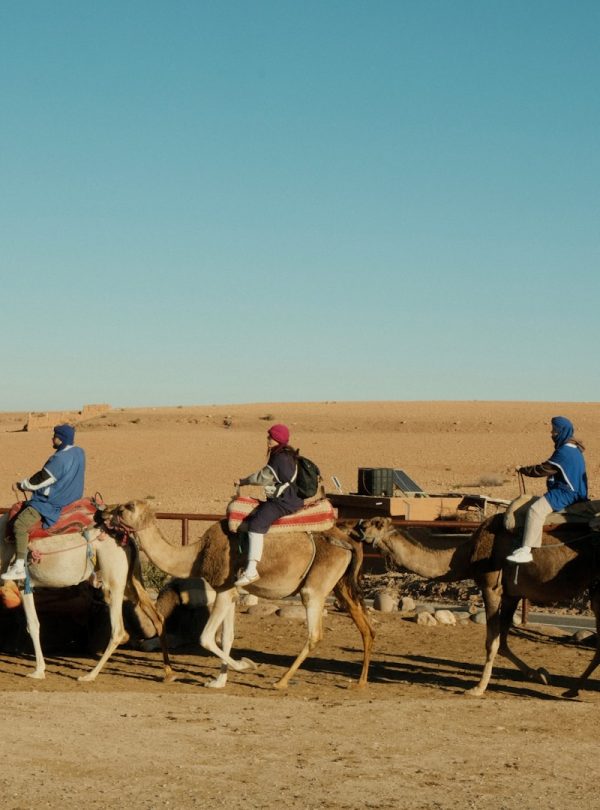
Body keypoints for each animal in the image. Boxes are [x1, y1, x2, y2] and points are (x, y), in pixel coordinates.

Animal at [0, 511, 174, 682]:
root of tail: (128, 539)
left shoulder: (23, 583)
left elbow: (32, 624)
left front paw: (38, 671)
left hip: (113, 579)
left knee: (118, 630)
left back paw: (90, 675)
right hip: (131, 580)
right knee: (156, 616)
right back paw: (169, 673)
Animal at [101, 500, 394, 689]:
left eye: (127, 507)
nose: (104, 513)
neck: (195, 555)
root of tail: (349, 539)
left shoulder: (223, 587)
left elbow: (206, 638)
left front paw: (245, 666)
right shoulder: (231, 592)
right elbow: (227, 637)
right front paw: (219, 681)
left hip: (315, 587)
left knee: (315, 633)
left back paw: (281, 681)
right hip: (341, 584)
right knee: (366, 627)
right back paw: (360, 682)